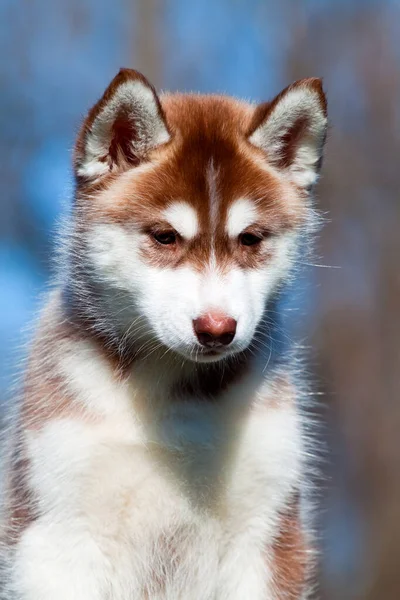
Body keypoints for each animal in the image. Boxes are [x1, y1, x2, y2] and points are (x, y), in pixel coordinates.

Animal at [0, 68, 326, 596]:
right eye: (164, 237)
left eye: (250, 239)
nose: (217, 329)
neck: (172, 392)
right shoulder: (56, 533)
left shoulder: (267, 531)